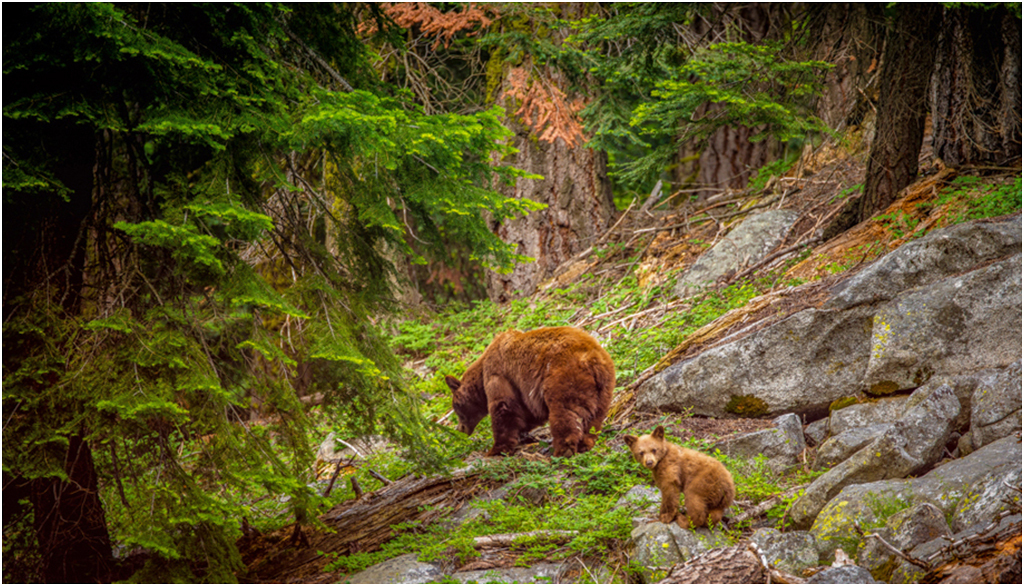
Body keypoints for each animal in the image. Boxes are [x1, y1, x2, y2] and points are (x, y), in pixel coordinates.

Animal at [444, 325, 610, 456]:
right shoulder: (523, 391)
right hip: (603, 388)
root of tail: (591, 359)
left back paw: (563, 450)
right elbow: (526, 413)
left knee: (564, 411)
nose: (459, 429)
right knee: (595, 417)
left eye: (455, 407)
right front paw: (523, 435)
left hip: (563, 376)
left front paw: (496, 450)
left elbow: (503, 407)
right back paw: (585, 443)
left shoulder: (498, 375)